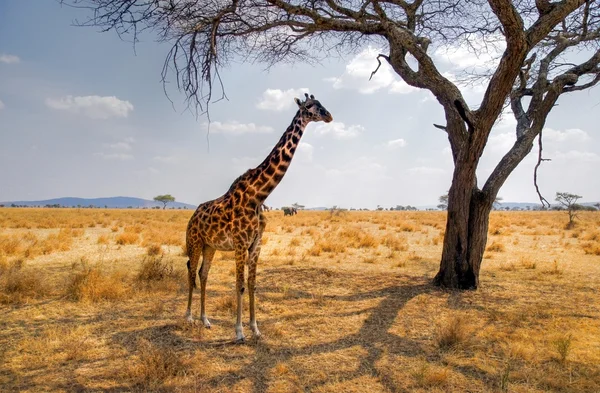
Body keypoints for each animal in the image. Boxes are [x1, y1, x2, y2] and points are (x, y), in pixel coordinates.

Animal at [185, 93, 332, 342]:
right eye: (311, 106)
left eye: (322, 104)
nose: (329, 115)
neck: (258, 196)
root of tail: (192, 217)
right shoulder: (240, 244)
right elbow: (239, 285)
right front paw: (239, 332)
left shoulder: (256, 244)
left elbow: (252, 284)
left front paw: (255, 329)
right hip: (194, 242)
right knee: (191, 269)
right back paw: (188, 317)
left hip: (209, 245)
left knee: (203, 274)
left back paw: (205, 320)